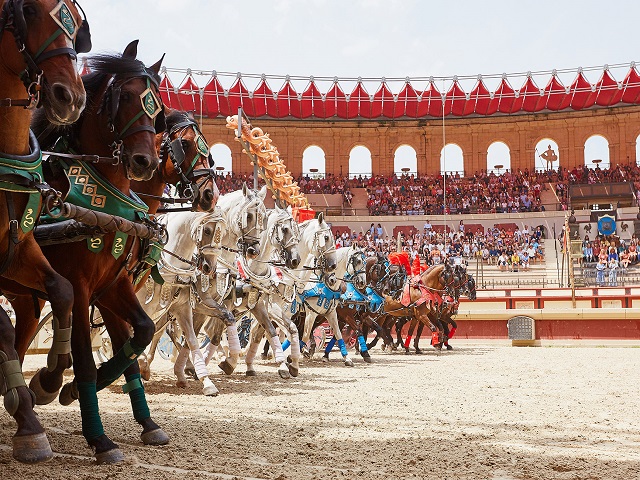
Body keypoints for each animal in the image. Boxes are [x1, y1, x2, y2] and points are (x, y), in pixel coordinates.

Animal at [5, 40, 165, 464]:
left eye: (156, 108)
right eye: (125, 97)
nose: (144, 161)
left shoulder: (113, 286)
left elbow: (141, 333)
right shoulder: (79, 288)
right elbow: (85, 359)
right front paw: (99, 437)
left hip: (24, 294)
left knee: (19, 338)